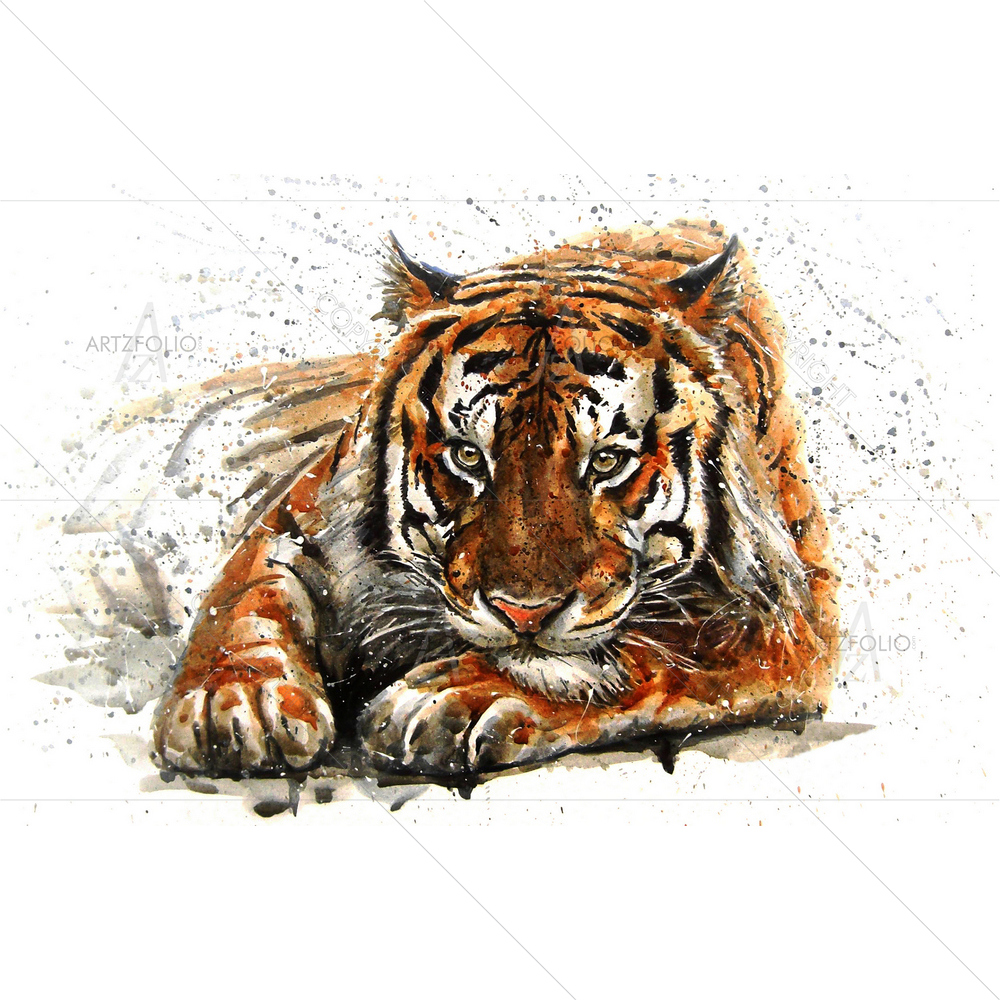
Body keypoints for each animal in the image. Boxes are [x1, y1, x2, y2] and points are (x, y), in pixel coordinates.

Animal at [152, 218, 840, 781]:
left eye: (608, 462)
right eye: (467, 456)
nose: (523, 615)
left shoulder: (787, 615)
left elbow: (651, 649)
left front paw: (458, 696)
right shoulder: (301, 515)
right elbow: (245, 596)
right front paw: (234, 700)